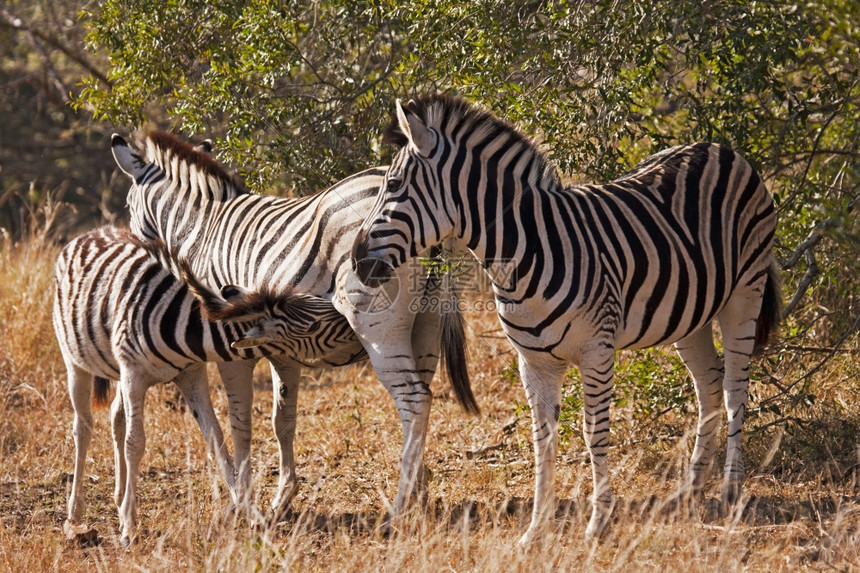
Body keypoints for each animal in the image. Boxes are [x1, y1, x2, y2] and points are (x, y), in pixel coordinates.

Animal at [53, 226, 362, 548]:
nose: (358, 325)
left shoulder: (190, 374)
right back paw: (75, 512)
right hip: (75, 361)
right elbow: (135, 443)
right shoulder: (133, 374)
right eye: (313, 327)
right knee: (83, 427)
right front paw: (129, 526)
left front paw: (251, 512)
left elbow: (216, 439)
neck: (182, 328)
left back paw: (118, 495)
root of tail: (91, 232)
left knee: (116, 418)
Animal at [109, 132, 478, 524]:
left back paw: (400, 504)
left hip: (379, 327)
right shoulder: (282, 350)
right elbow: (281, 420)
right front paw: (282, 498)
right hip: (425, 324)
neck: (202, 232)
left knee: (413, 399)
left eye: (128, 206)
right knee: (421, 403)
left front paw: (242, 502)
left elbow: (240, 422)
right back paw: (419, 495)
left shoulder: (231, 349)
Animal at [352, 95, 784, 544]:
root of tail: (719, 149)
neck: (524, 254)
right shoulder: (533, 362)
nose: (356, 260)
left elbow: (594, 433)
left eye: (394, 186)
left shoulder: (597, 351)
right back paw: (691, 489)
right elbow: (543, 440)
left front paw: (599, 523)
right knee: (709, 387)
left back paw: (731, 490)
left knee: (735, 388)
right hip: (690, 313)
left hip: (745, 291)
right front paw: (536, 528)